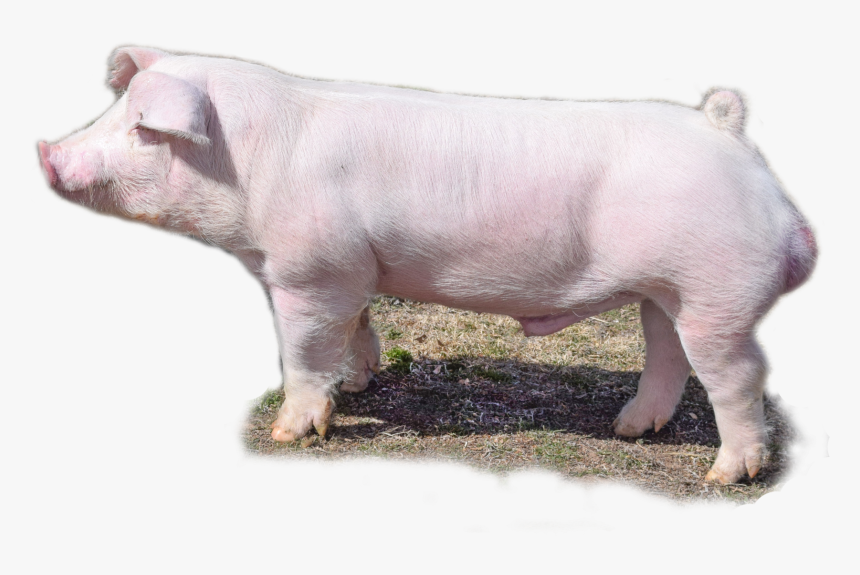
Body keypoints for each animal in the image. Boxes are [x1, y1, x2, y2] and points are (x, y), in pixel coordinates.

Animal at [39, 46, 816, 484]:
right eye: (113, 113)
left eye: (144, 130)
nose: (45, 150)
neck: (250, 168)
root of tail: (726, 129)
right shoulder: (352, 270)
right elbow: (358, 326)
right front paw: (359, 384)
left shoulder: (309, 271)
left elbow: (302, 351)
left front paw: (291, 432)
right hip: (667, 290)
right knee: (666, 353)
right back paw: (629, 430)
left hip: (716, 291)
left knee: (737, 376)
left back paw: (724, 476)